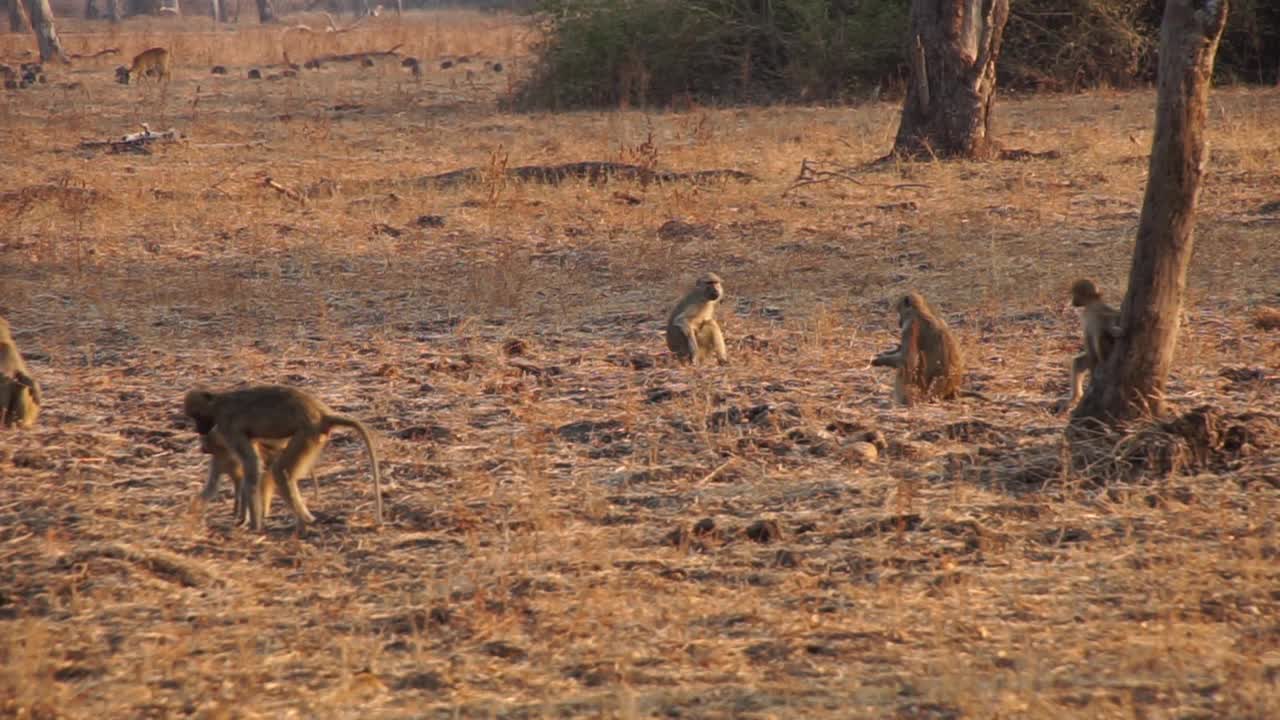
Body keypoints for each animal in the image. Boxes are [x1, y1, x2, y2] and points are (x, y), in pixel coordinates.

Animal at [183, 384, 378, 530]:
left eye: (197, 416)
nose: (199, 429)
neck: (219, 404)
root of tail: (320, 412)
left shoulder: (227, 426)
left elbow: (252, 464)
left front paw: (254, 525)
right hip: (314, 436)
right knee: (280, 470)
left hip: (307, 432)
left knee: (280, 471)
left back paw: (304, 522)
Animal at [1059, 275, 1121, 409]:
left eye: (1075, 294)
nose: (1073, 301)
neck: (1092, 305)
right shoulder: (1086, 314)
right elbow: (1087, 335)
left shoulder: (1101, 310)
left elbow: (1112, 317)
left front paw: (1115, 329)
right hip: (1091, 359)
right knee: (1080, 361)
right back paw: (1075, 398)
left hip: (1106, 352)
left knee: (1100, 336)